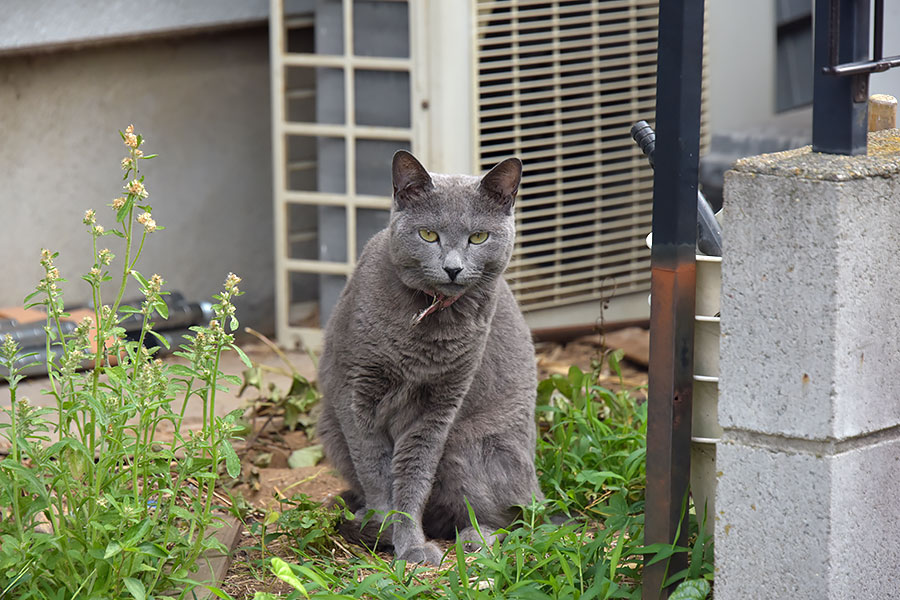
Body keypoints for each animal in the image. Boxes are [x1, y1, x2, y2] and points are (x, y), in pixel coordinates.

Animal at [318, 151, 540, 568]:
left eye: (478, 237)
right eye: (428, 235)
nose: (452, 268)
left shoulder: (438, 407)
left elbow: (413, 475)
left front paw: (408, 543)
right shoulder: (354, 394)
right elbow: (375, 470)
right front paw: (383, 526)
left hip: (469, 446)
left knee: (512, 518)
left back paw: (476, 538)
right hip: (328, 425)